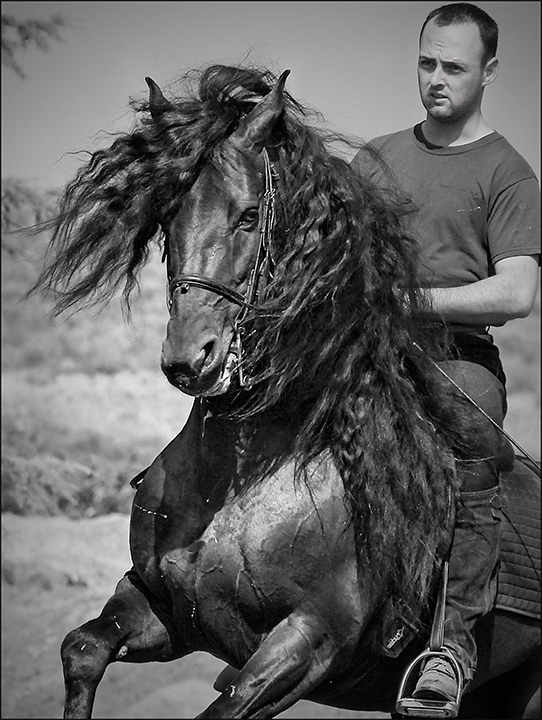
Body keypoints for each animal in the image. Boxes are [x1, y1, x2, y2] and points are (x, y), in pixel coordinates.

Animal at [31, 64, 540, 719]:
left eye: (249, 216)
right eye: (167, 216)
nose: (189, 357)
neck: (241, 473)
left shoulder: (309, 640)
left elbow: (229, 703)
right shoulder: (162, 608)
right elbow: (83, 649)